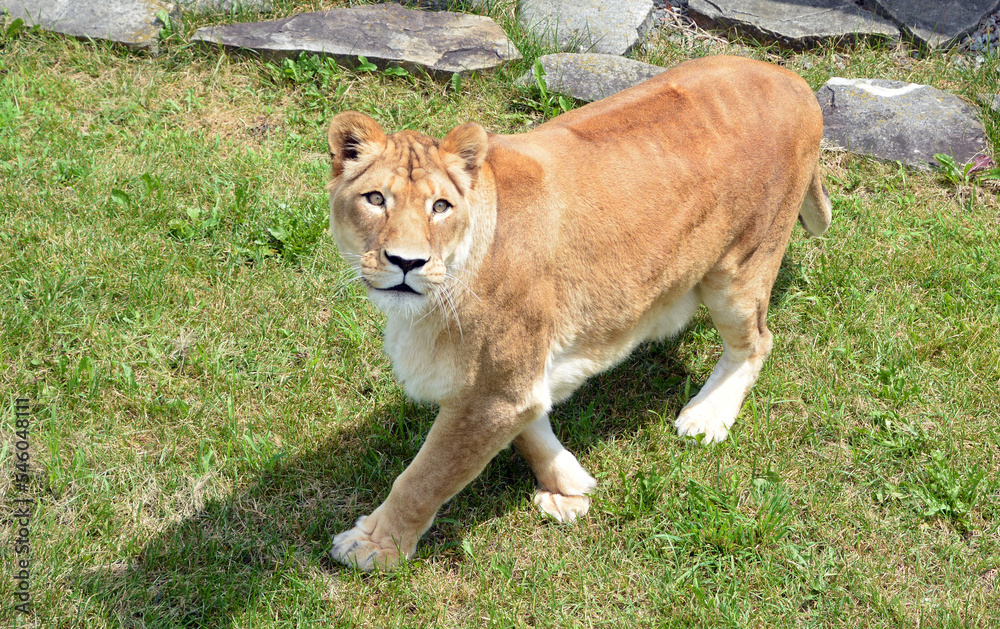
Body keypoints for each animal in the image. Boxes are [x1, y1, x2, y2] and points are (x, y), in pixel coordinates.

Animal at [324, 55, 831, 570]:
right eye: (376, 199)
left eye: (440, 206)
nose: (406, 262)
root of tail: (790, 80)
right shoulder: (512, 383)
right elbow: (531, 426)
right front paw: (569, 487)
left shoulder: (492, 395)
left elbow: (425, 477)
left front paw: (375, 545)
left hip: (741, 270)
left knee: (757, 342)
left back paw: (708, 417)